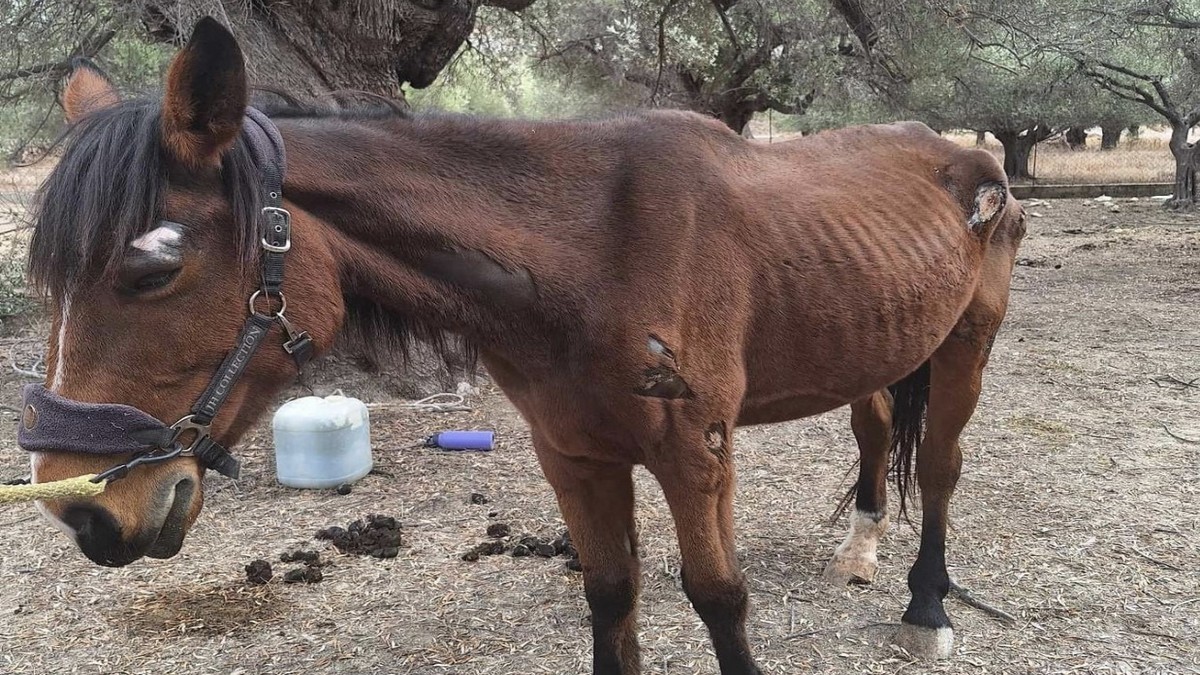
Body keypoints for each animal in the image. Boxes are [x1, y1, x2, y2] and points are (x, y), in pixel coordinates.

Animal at [23, 18, 1027, 667]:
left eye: (152, 270)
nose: (85, 511)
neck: (593, 253)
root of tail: (971, 159)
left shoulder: (698, 458)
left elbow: (720, 600)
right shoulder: (573, 456)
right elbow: (611, 594)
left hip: (968, 346)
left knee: (940, 468)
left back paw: (926, 602)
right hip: (883, 347)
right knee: (876, 430)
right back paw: (860, 551)